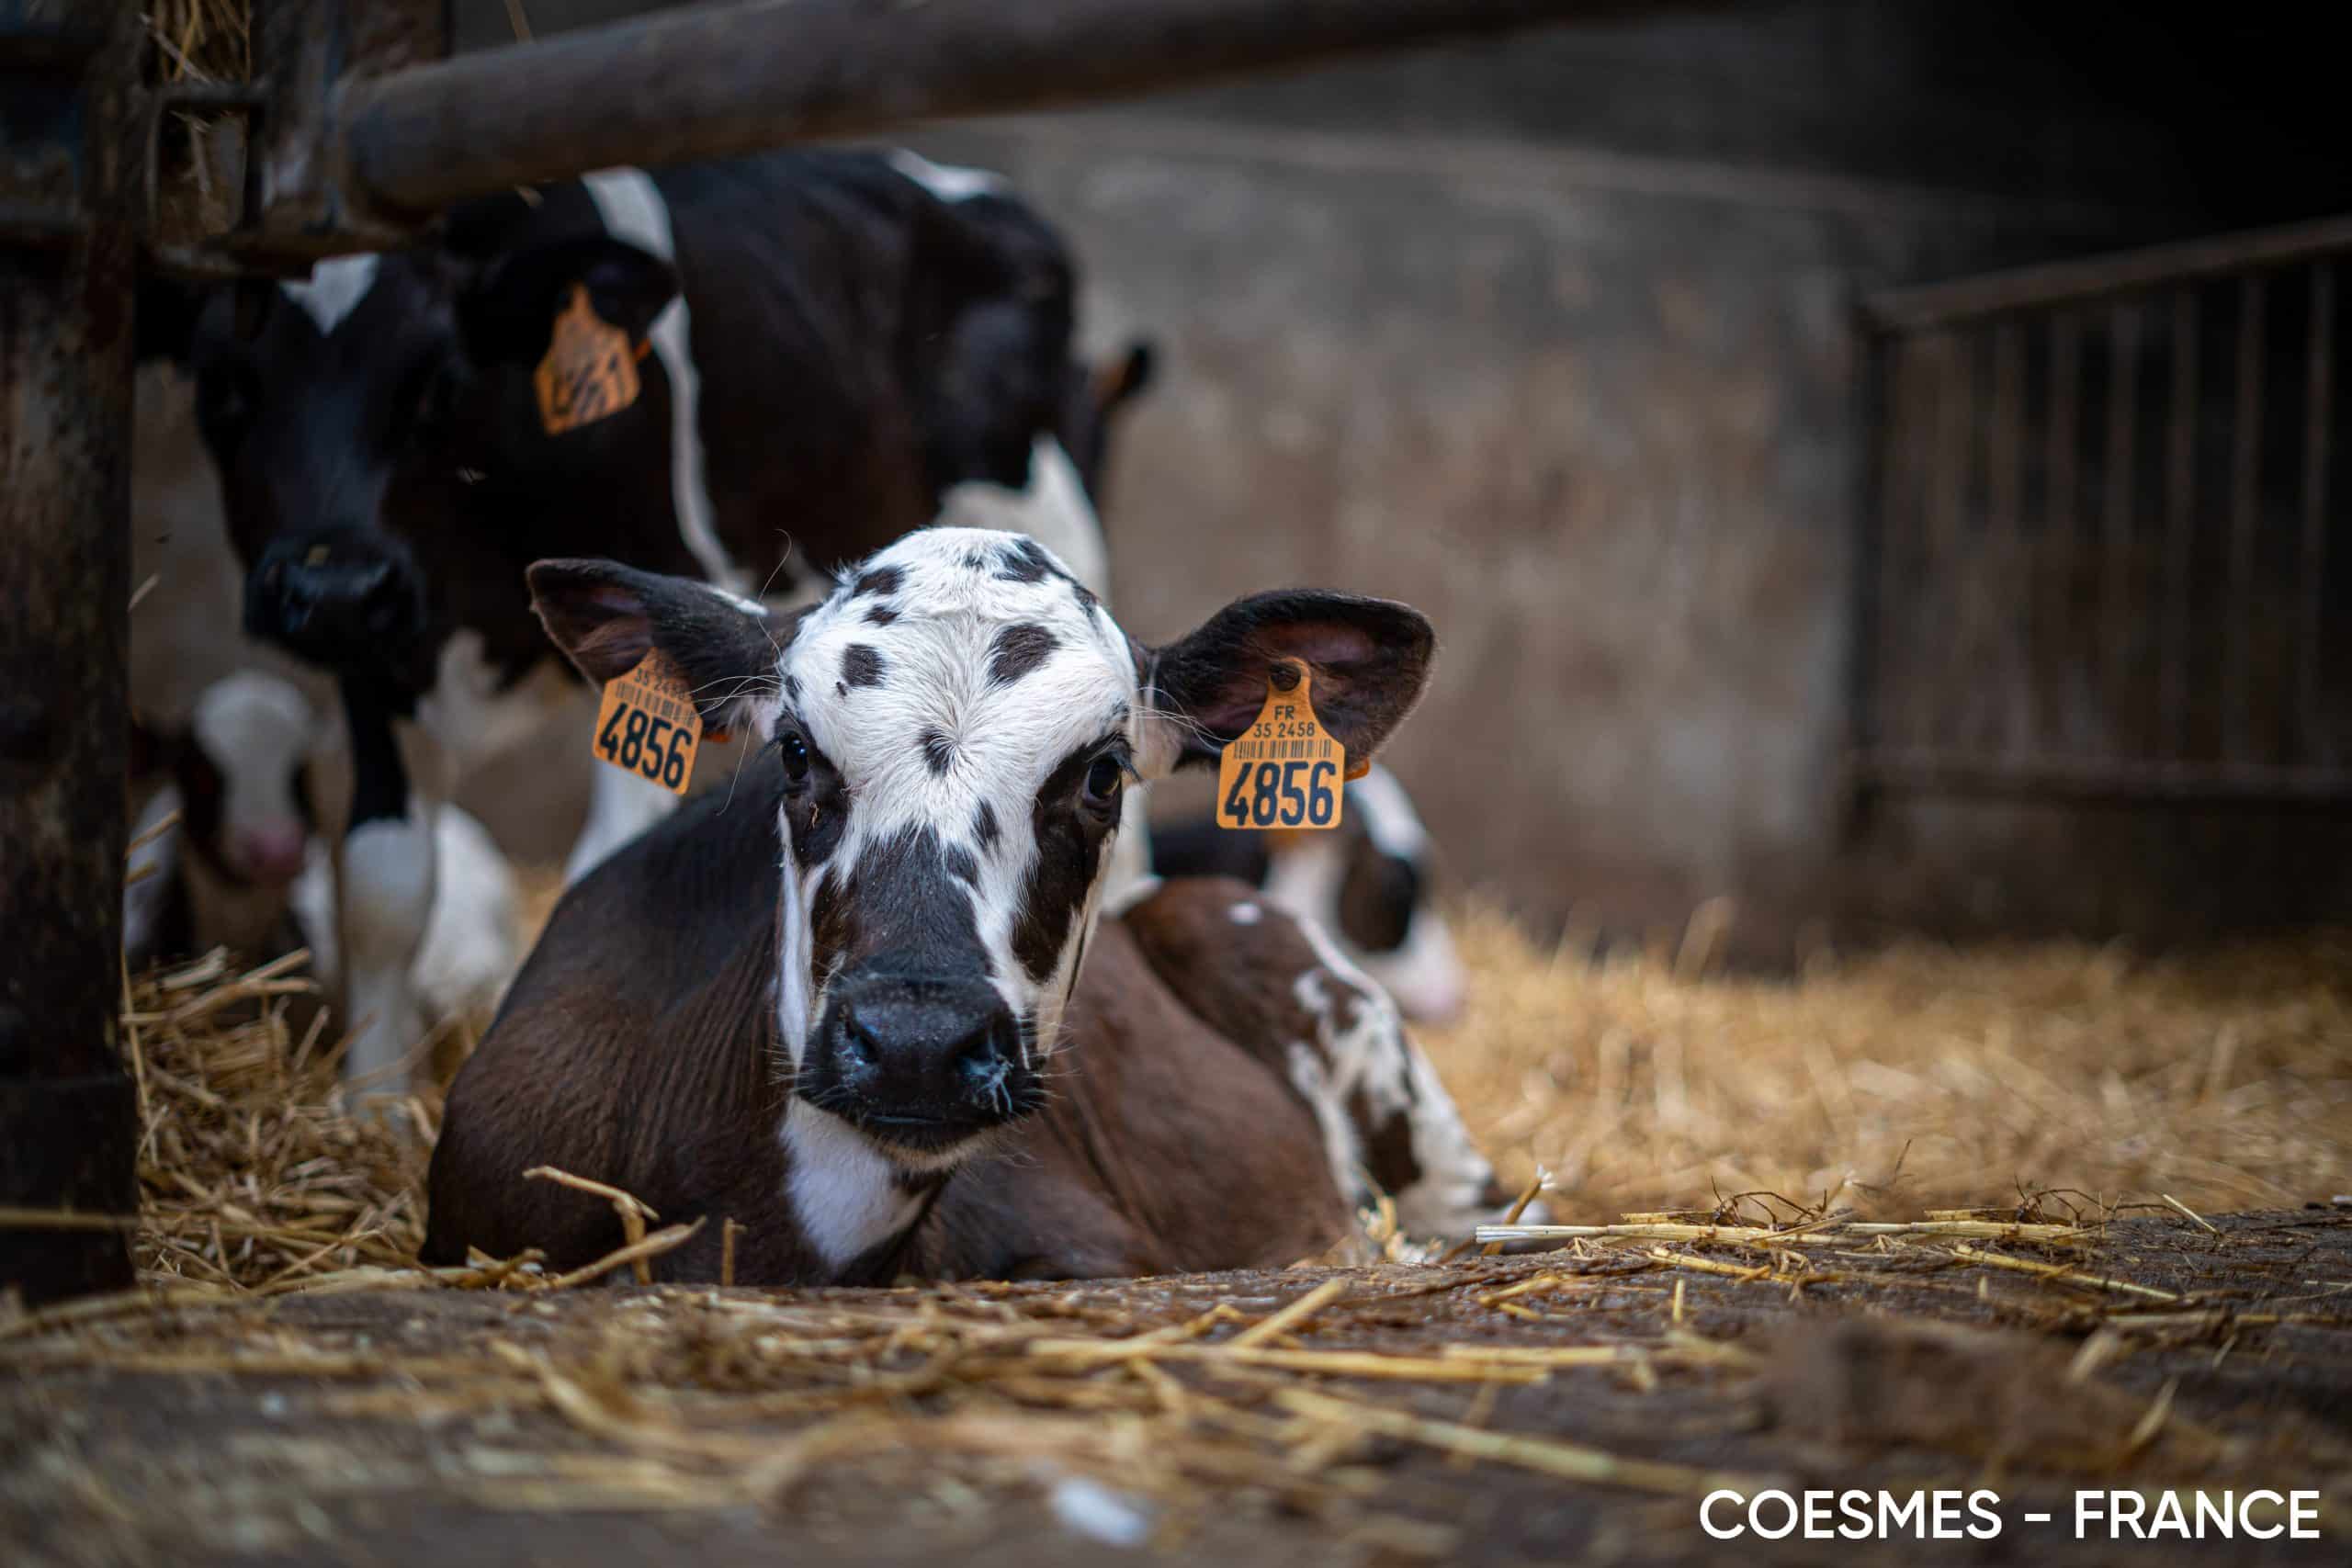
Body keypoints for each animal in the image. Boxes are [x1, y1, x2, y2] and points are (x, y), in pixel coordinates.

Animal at [178, 149, 1120, 1084]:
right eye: (221, 391)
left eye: (438, 385)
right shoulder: (380, 652)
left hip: (1041, 500)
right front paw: (373, 1097)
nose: (328, 585)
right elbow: (381, 886)